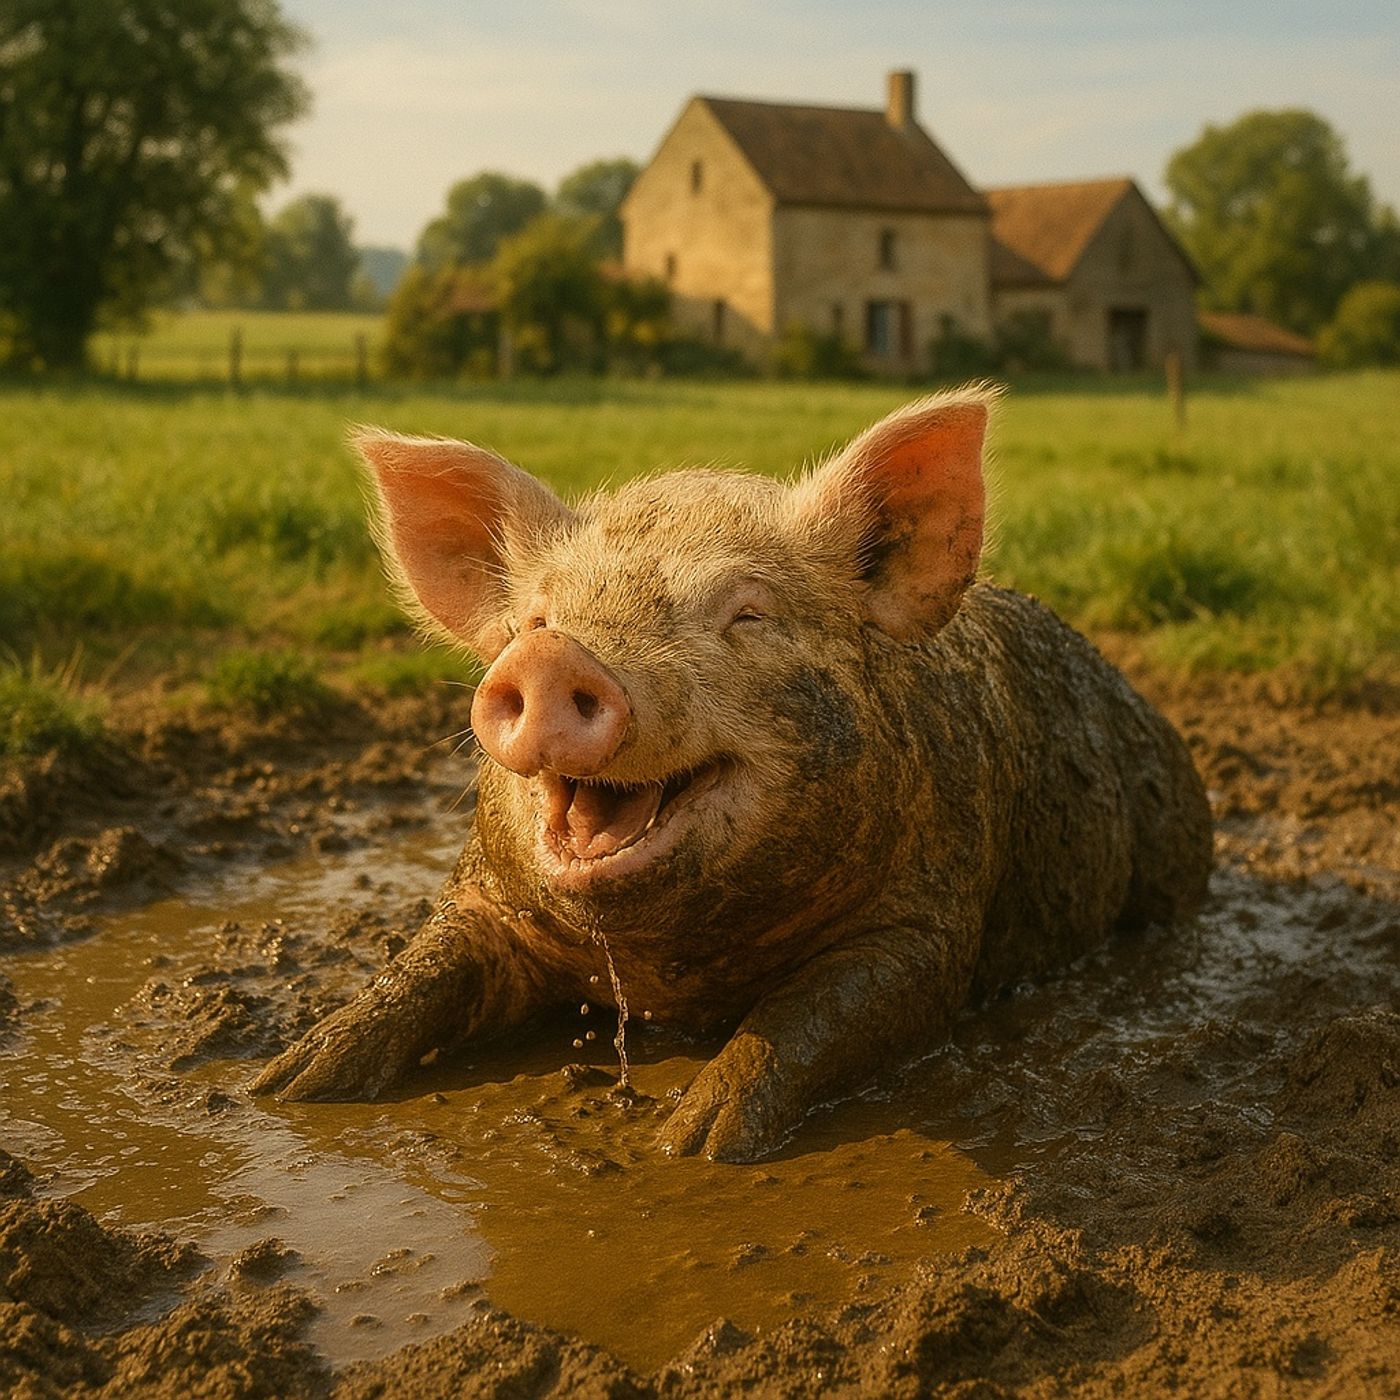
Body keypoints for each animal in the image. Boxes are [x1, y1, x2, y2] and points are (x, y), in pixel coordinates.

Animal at [251, 387, 1212, 1162]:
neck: (671, 978)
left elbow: (808, 1014)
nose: (556, 657)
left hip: (1172, 865)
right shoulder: (484, 898)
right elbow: (421, 969)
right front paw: (286, 1084)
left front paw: (691, 1140)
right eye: (537, 619)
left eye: (747, 614)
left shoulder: (928, 924)